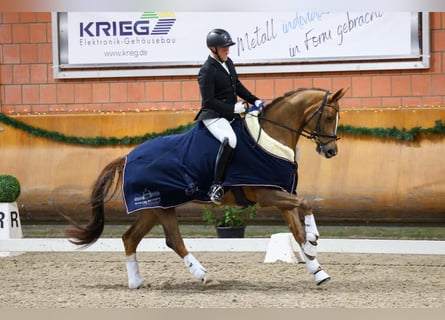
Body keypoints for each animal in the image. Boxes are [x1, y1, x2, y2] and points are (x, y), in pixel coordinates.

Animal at [65, 88, 346, 290]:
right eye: (328, 117)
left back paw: (136, 282)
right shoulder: (268, 195)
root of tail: (127, 156)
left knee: (130, 237)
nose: (331, 151)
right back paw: (203, 275)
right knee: (174, 239)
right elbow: (306, 204)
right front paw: (313, 239)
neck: (270, 136)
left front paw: (317, 269)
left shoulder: (281, 195)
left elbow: (296, 230)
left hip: (154, 206)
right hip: (161, 205)